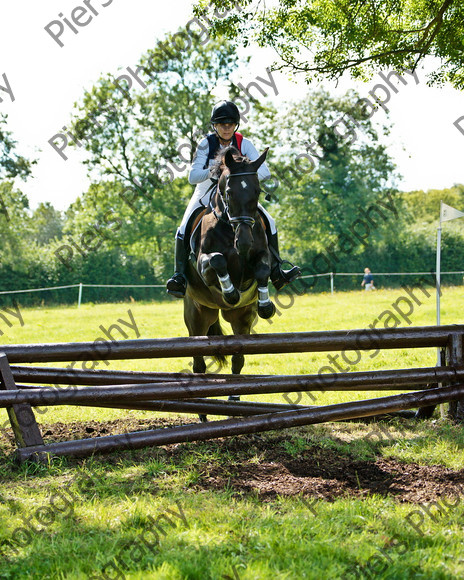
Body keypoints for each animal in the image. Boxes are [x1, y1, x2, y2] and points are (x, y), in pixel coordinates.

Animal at [182, 145, 276, 414]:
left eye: (257, 191)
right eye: (229, 192)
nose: (243, 242)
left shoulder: (261, 256)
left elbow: (263, 270)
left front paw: (266, 305)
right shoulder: (203, 262)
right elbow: (217, 261)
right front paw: (230, 292)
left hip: (241, 319)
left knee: (238, 358)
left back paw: (234, 397)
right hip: (197, 318)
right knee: (198, 364)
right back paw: (201, 409)